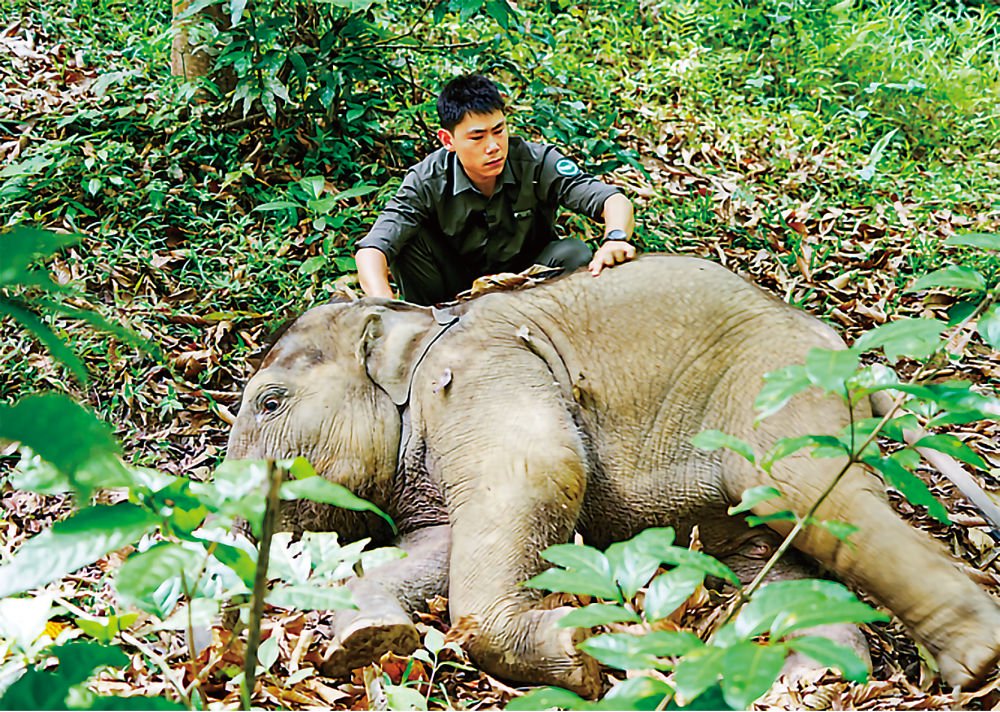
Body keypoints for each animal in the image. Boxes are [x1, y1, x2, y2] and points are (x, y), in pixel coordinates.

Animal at [227, 254, 1000, 696]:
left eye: (270, 402)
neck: (424, 320)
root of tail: (856, 357)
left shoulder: (483, 370)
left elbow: (542, 470)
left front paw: (584, 653)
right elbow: (439, 546)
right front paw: (366, 643)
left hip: (777, 387)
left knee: (811, 496)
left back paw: (976, 663)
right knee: (776, 556)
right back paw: (812, 680)